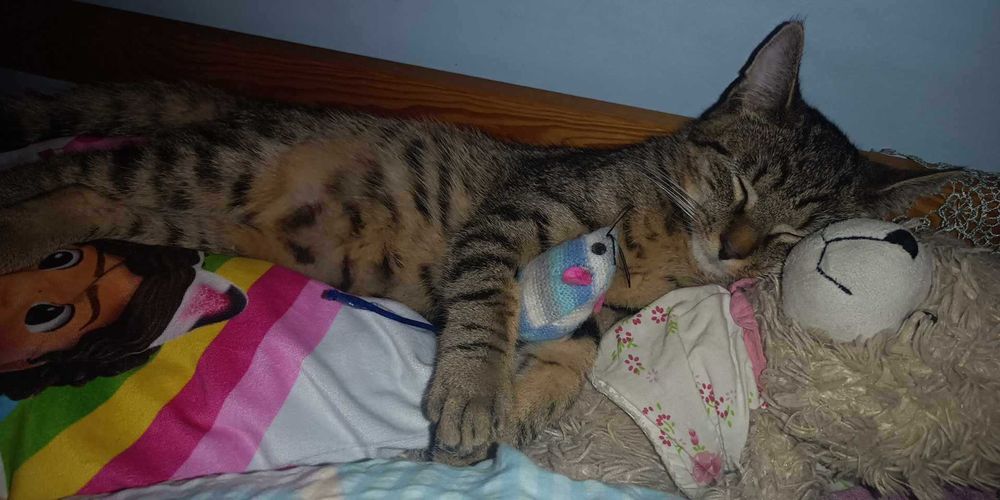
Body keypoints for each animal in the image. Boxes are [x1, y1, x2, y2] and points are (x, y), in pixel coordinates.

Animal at [0, 21, 950, 465]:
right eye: (737, 182)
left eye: (791, 234)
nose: (736, 242)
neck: (673, 246)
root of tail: (247, 107)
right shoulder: (519, 209)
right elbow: (489, 298)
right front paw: (468, 392)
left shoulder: (603, 308)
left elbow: (579, 348)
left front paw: (519, 409)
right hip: (207, 171)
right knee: (70, 173)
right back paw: (14, 222)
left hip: (192, 213)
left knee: (82, 194)